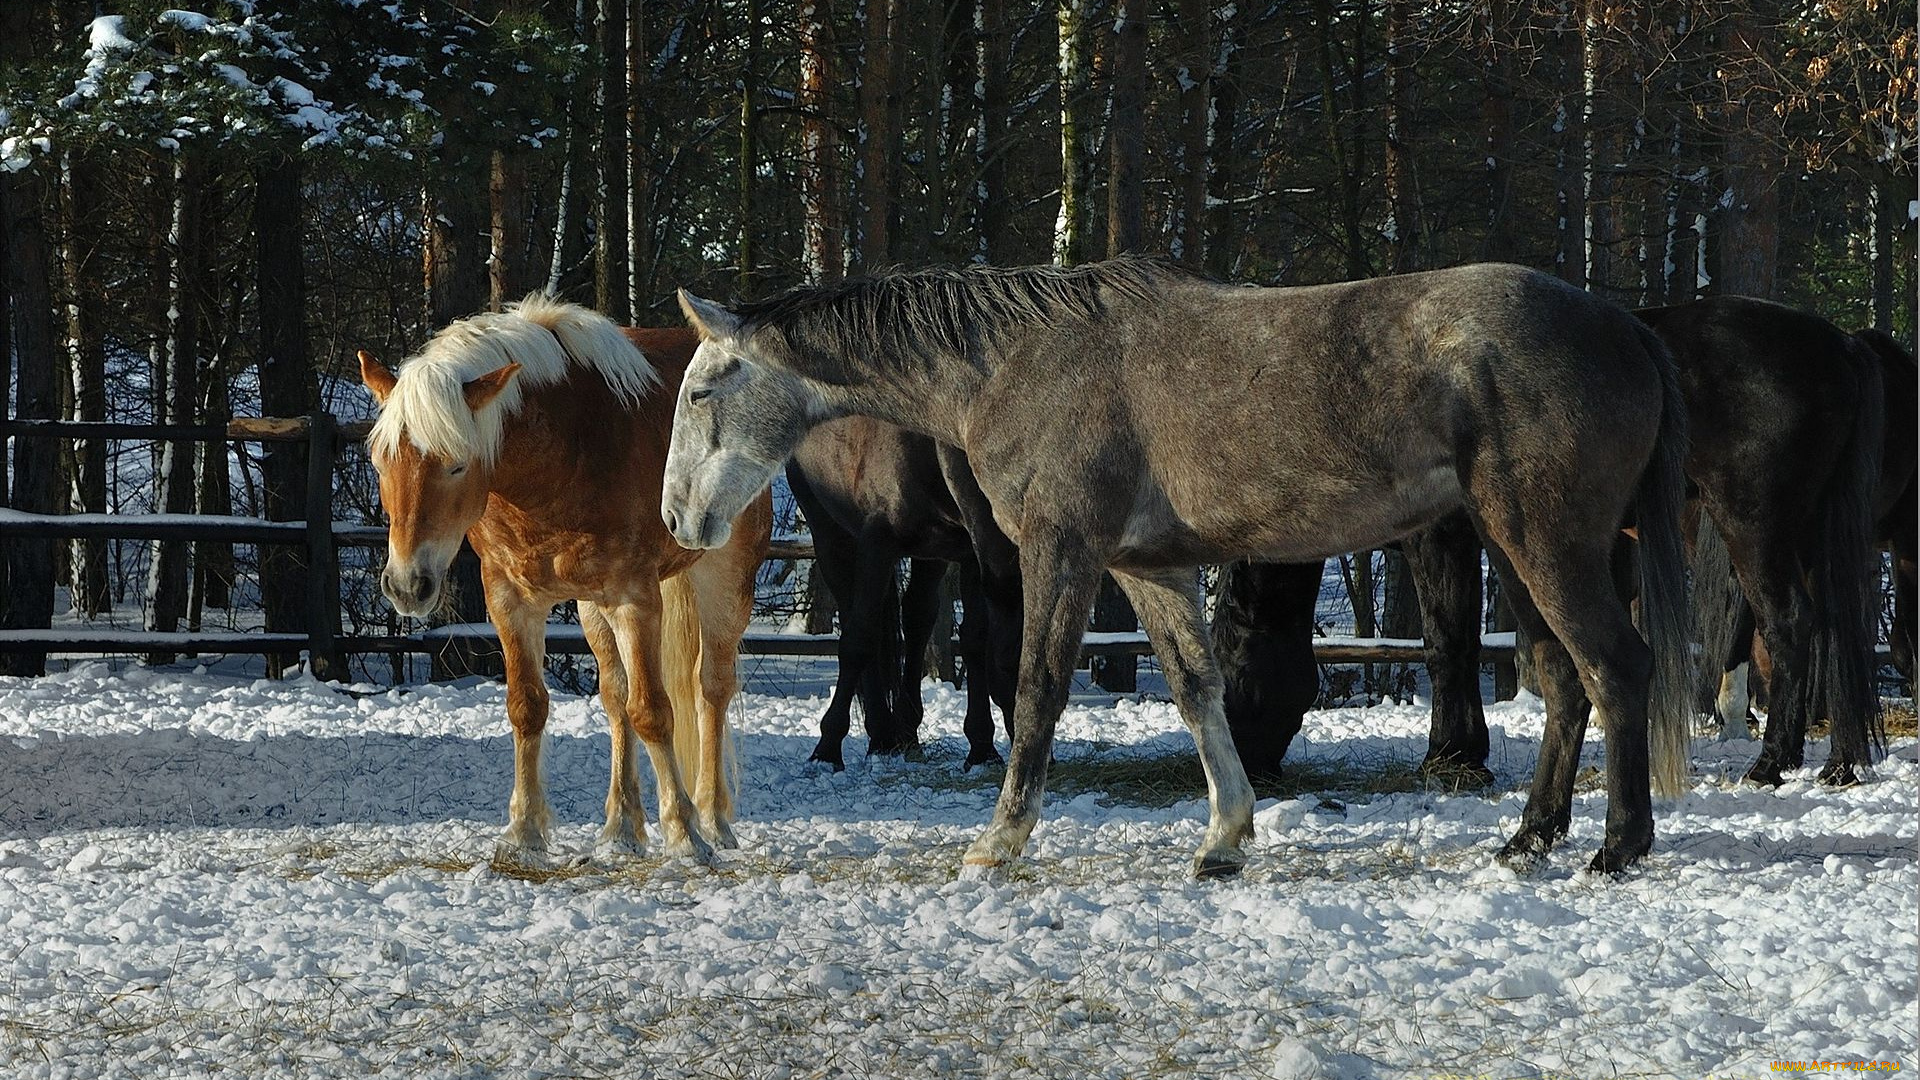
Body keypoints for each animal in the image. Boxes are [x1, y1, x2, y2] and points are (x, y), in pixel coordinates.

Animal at [360, 294, 771, 857]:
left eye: (456, 465)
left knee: (710, 688)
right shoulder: (510, 600)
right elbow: (528, 707)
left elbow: (654, 711)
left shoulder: (635, 599)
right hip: (591, 607)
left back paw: (712, 820)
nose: (406, 585)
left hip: (723, 581)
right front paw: (523, 833)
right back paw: (621, 828)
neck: (565, 450)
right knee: (616, 699)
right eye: (380, 461)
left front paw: (685, 834)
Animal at [783, 411, 1021, 764]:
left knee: (917, 618)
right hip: (830, 535)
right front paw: (827, 747)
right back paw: (881, 732)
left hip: (931, 554)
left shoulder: (974, 555)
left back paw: (906, 731)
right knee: (856, 619)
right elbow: (858, 641)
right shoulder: (877, 542)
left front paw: (982, 748)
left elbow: (974, 640)